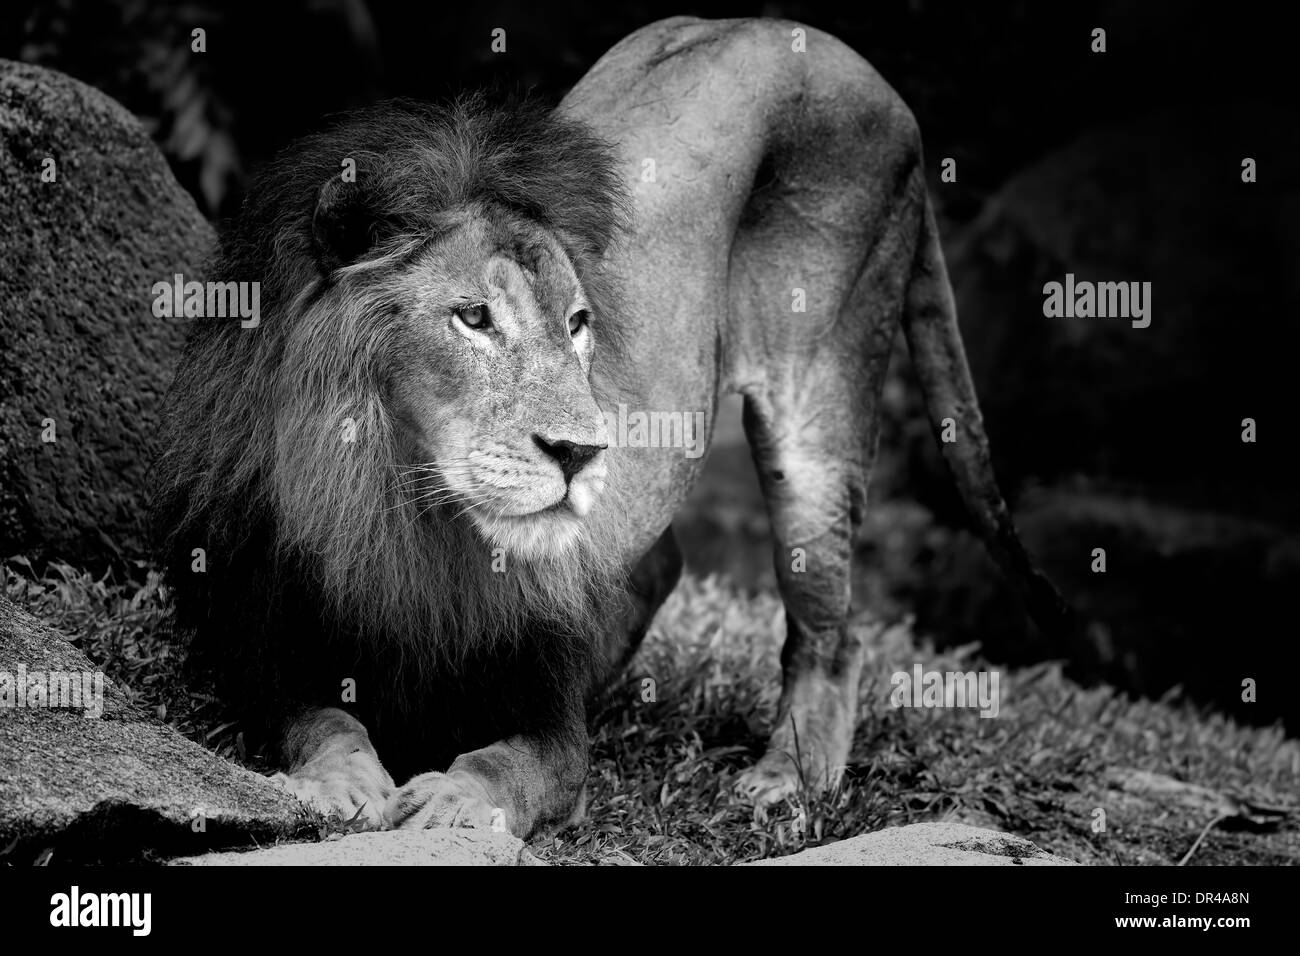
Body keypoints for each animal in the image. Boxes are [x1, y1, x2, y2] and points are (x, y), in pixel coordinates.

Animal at [152, 16, 1066, 837]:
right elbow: (323, 719)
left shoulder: (550, 723)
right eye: (474, 318)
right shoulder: (267, 641)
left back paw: (786, 781)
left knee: (830, 629)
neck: (409, 512)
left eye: (579, 324)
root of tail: (852, 62)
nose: (581, 451)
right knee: (658, 560)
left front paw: (450, 805)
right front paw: (342, 784)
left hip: (823, 390)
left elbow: (505, 764)